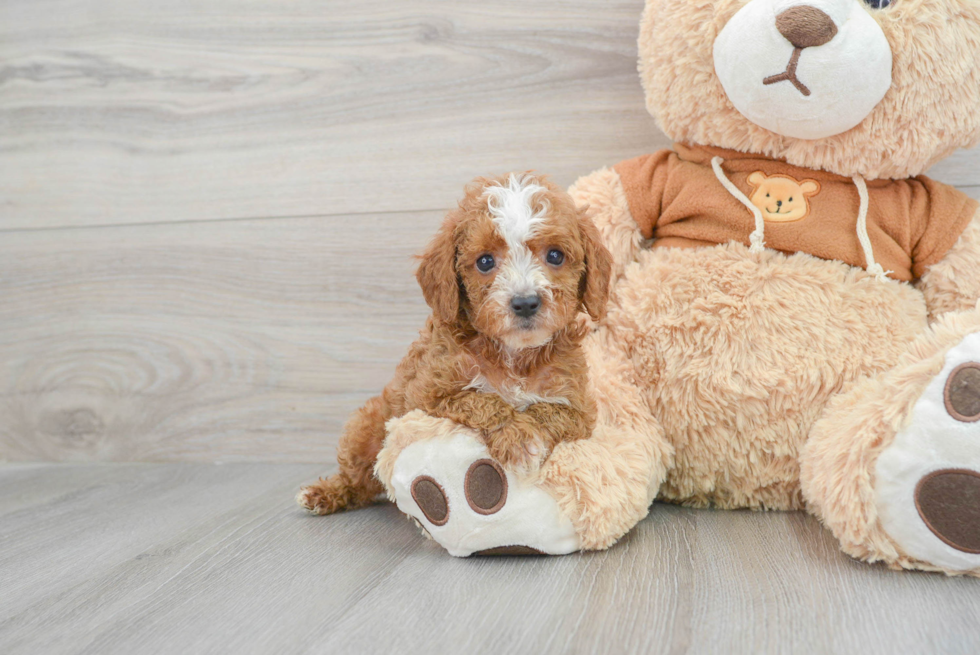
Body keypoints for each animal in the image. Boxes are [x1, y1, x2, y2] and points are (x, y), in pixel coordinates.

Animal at [298, 172, 608, 516]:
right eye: (485, 262)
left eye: (555, 255)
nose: (525, 303)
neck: (513, 355)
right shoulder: (425, 397)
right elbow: (480, 398)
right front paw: (517, 438)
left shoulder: (581, 410)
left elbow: (550, 410)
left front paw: (529, 436)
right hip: (366, 426)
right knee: (359, 479)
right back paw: (323, 493)